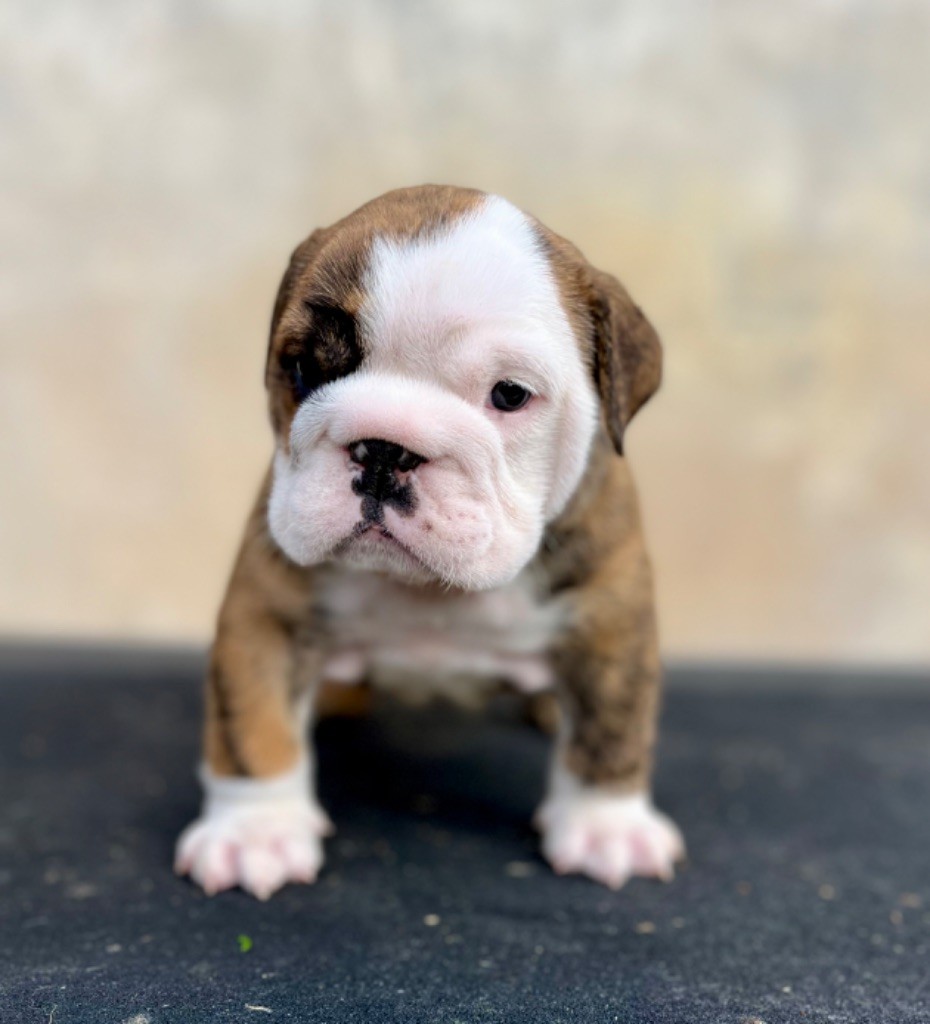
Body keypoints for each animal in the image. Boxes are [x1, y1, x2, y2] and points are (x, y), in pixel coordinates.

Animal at [174, 185, 684, 899]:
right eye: (302, 368)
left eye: (509, 395)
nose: (383, 450)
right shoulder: (264, 611)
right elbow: (254, 721)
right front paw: (256, 832)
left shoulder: (610, 616)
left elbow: (612, 725)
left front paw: (606, 826)